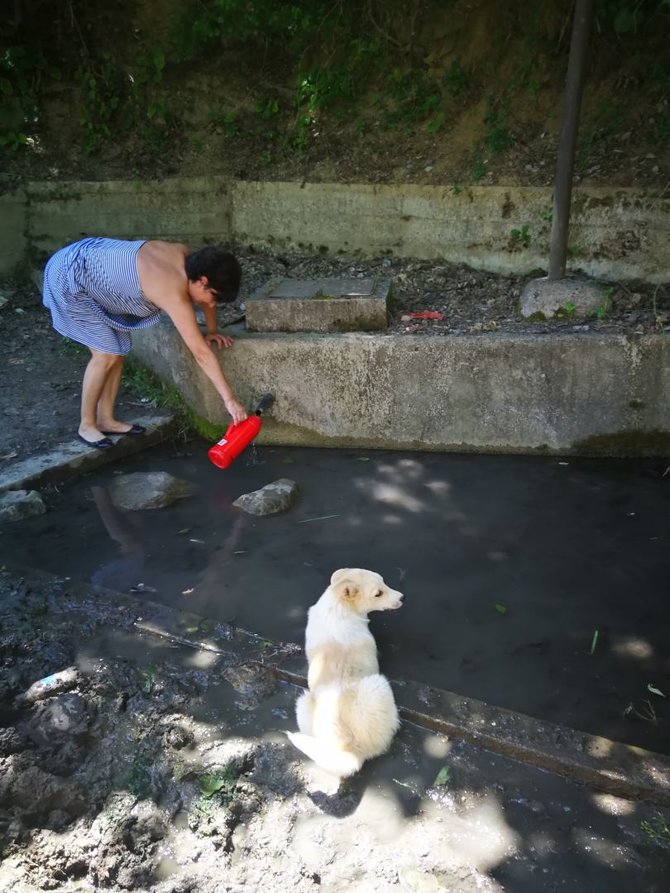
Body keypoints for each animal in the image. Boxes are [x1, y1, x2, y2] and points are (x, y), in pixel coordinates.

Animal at [288, 568, 404, 776]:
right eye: (378, 594)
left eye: (384, 581)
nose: (403, 597)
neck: (337, 606)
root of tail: (354, 752)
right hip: (378, 684)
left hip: (302, 703)